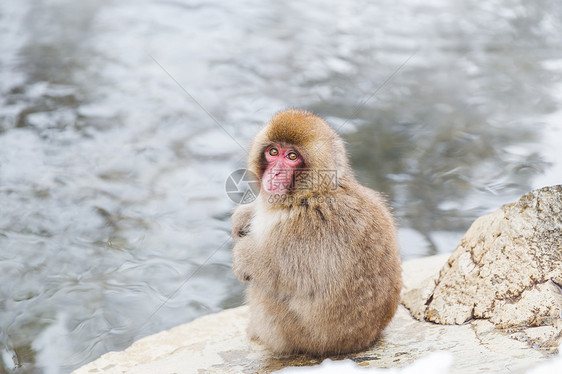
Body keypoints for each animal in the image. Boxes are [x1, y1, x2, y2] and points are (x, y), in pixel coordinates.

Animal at [230, 109, 400, 356]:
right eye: (273, 152)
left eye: (292, 156)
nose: (275, 173)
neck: (310, 193)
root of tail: (366, 338)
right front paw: (244, 216)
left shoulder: (306, 229)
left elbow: (277, 271)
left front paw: (242, 256)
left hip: (302, 335)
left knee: (265, 289)